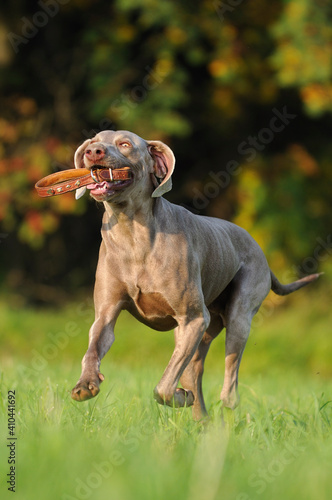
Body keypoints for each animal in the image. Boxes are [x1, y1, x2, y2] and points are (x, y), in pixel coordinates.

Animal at [70, 131, 320, 420]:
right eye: (93, 142)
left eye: (125, 144)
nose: (94, 152)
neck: (131, 231)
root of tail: (261, 254)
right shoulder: (106, 314)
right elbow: (92, 350)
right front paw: (85, 384)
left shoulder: (193, 318)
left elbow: (163, 387)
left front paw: (179, 397)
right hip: (201, 330)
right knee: (194, 372)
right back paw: (202, 419)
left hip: (236, 318)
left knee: (228, 386)